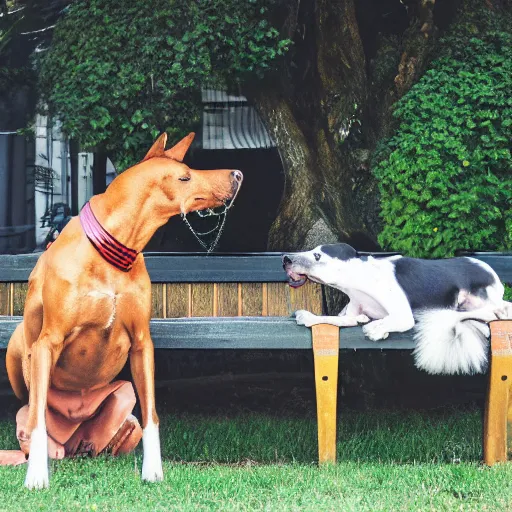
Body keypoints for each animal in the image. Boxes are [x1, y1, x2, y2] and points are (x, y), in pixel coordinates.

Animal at [4, 132, 242, 488]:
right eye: (185, 177)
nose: (238, 174)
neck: (112, 251)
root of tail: (74, 441)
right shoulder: (48, 342)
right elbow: (37, 419)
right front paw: (36, 477)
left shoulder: (143, 344)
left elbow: (152, 414)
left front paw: (153, 469)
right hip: (17, 361)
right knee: (33, 423)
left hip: (121, 399)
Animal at [282, 244, 510, 376]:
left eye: (317, 255)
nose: (285, 258)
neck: (361, 278)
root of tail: (494, 275)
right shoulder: (352, 312)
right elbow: (335, 319)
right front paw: (310, 317)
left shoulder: (403, 316)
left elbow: (389, 322)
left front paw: (377, 329)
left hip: (480, 300)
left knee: (491, 312)